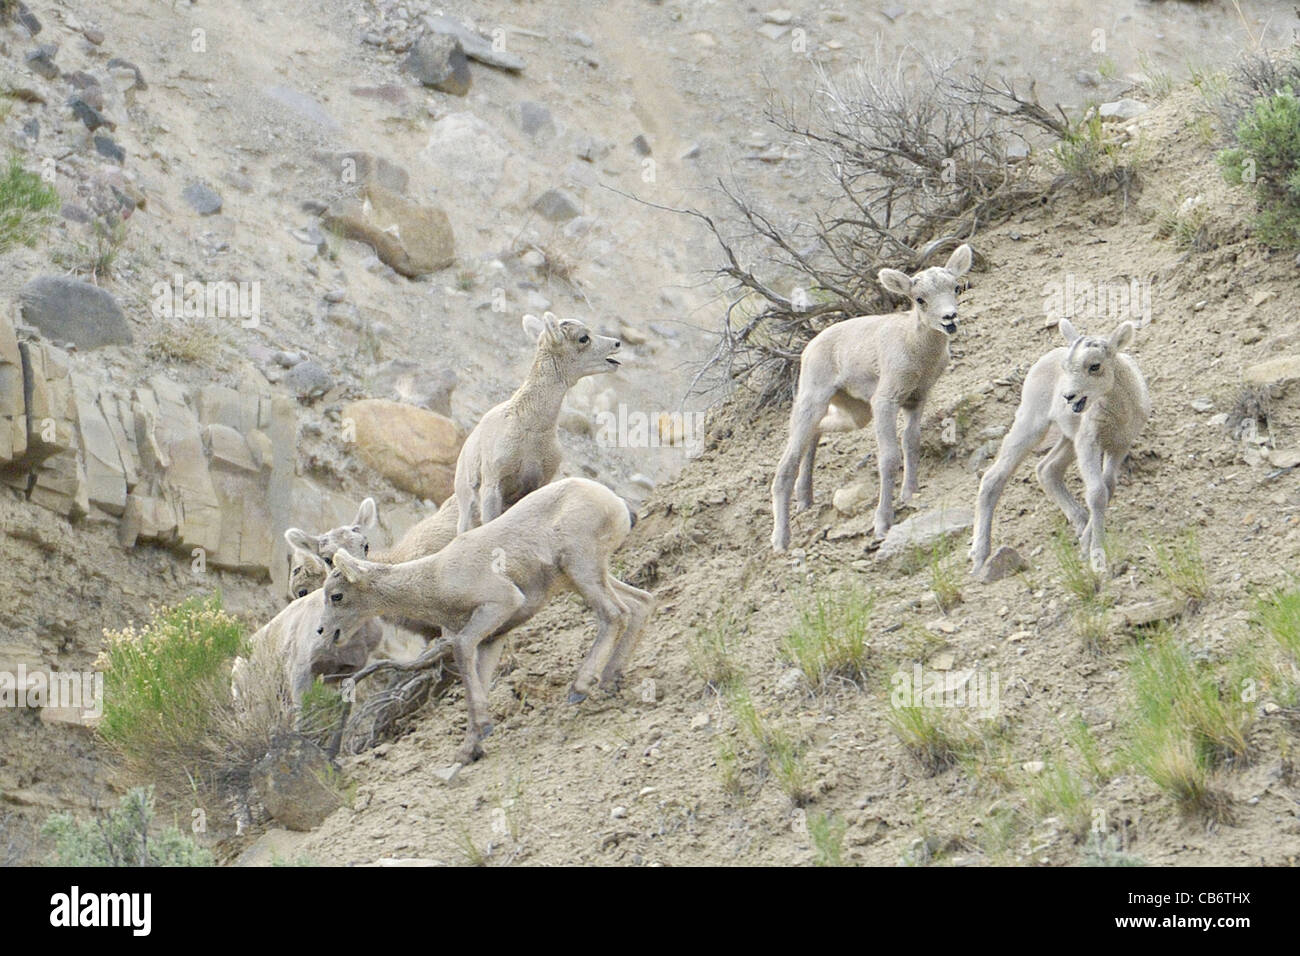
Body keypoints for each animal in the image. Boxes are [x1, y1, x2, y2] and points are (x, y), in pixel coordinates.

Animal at [319, 476, 655, 764]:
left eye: (336, 595)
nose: (324, 631)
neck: (434, 580)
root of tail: (615, 502)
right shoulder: (493, 637)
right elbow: (478, 677)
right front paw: (470, 749)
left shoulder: (499, 605)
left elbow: (462, 652)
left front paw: (480, 732)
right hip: (586, 577)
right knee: (640, 603)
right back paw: (611, 681)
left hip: (581, 568)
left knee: (615, 614)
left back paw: (581, 687)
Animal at [454, 316, 621, 535]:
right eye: (583, 338)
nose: (616, 344)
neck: (531, 431)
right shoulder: (493, 486)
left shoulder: (537, 484)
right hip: (467, 504)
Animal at [764, 240, 972, 554]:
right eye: (919, 299)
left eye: (956, 288)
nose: (949, 319)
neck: (916, 352)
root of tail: (808, 348)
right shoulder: (885, 401)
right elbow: (889, 457)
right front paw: (883, 523)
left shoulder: (916, 400)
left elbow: (911, 443)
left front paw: (910, 493)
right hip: (815, 400)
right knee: (786, 464)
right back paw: (781, 540)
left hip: (855, 413)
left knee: (817, 431)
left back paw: (805, 498)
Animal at [972, 319, 1154, 574]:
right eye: (1066, 367)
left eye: (1095, 366)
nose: (1069, 396)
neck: (1118, 415)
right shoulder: (1088, 443)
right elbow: (1097, 493)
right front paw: (1096, 557)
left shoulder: (1119, 446)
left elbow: (1108, 487)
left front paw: (1086, 542)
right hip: (1031, 425)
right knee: (993, 477)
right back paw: (979, 556)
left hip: (1068, 440)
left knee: (1047, 469)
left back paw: (1079, 521)